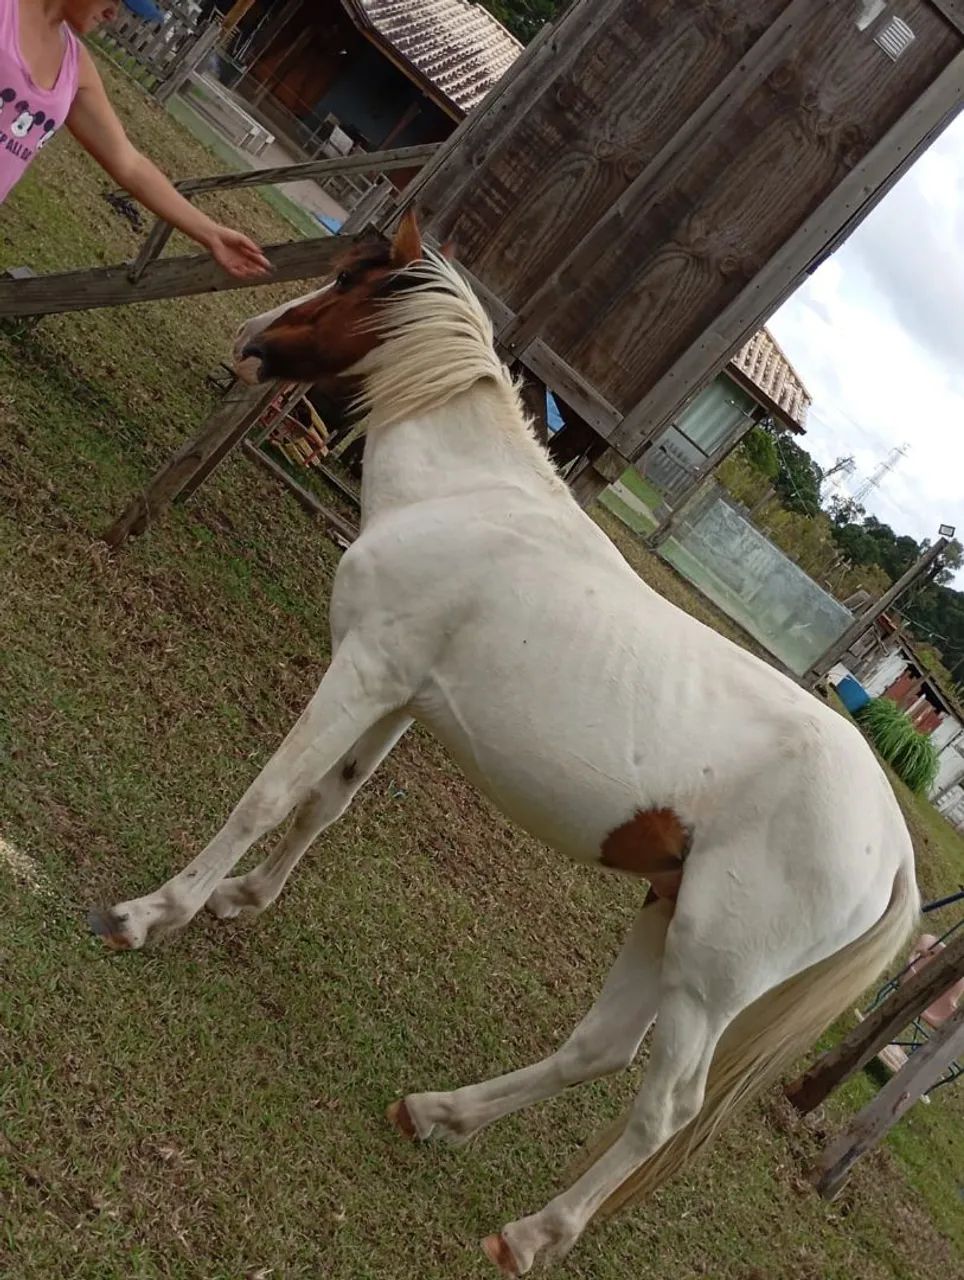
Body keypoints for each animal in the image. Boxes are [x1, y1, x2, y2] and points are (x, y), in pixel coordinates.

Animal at [90, 210, 919, 1275]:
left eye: (353, 281)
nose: (252, 334)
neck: (467, 497)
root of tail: (892, 850)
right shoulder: (401, 691)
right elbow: (328, 802)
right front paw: (242, 900)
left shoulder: (363, 670)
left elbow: (270, 795)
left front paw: (157, 912)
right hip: (662, 911)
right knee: (598, 1049)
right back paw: (438, 1114)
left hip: (706, 978)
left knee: (663, 1107)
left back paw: (533, 1232)